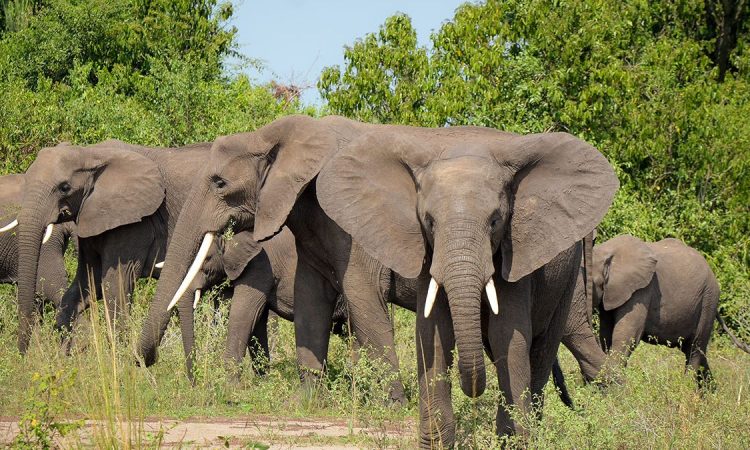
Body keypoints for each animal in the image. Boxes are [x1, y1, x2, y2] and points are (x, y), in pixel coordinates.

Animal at [15, 140, 210, 353]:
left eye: (64, 187)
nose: (23, 355)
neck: (90, 153)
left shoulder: (133, 224)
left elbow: (114, 285)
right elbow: (87, 284)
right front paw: (65, 358)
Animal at [561, 235, 721, 389]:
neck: (606, 253)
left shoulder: (642, 289)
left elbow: (626, 334)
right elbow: (606, 335)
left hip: (708, 300)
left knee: (695, 349)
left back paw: (687, 388)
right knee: (698, 352)